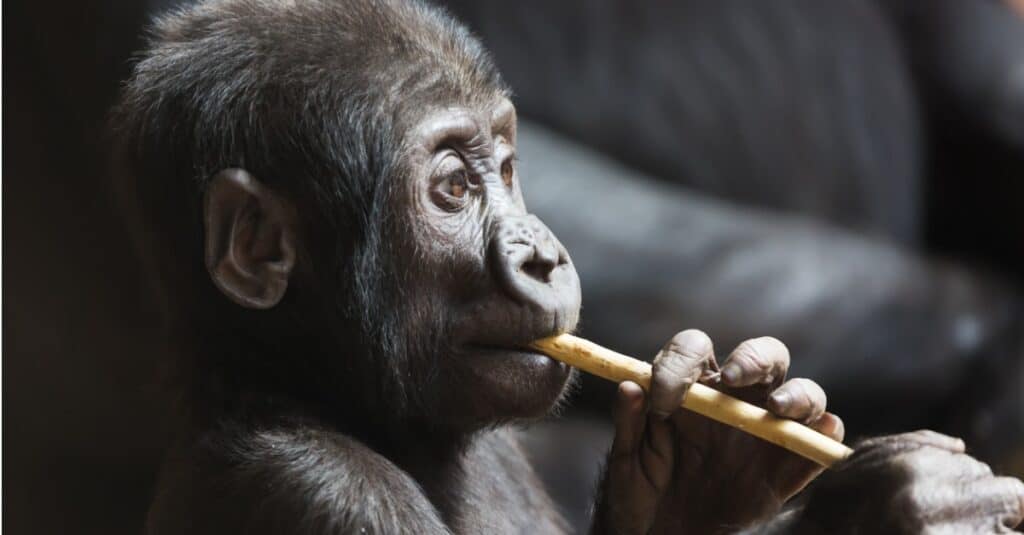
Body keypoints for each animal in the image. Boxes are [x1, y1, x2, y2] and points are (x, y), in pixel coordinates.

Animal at [112, 0, 1024, 528]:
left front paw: (703, 464)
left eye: (509, 168)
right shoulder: (322, 493)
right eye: (452, 187)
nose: (546, 257)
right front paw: (898, 501)